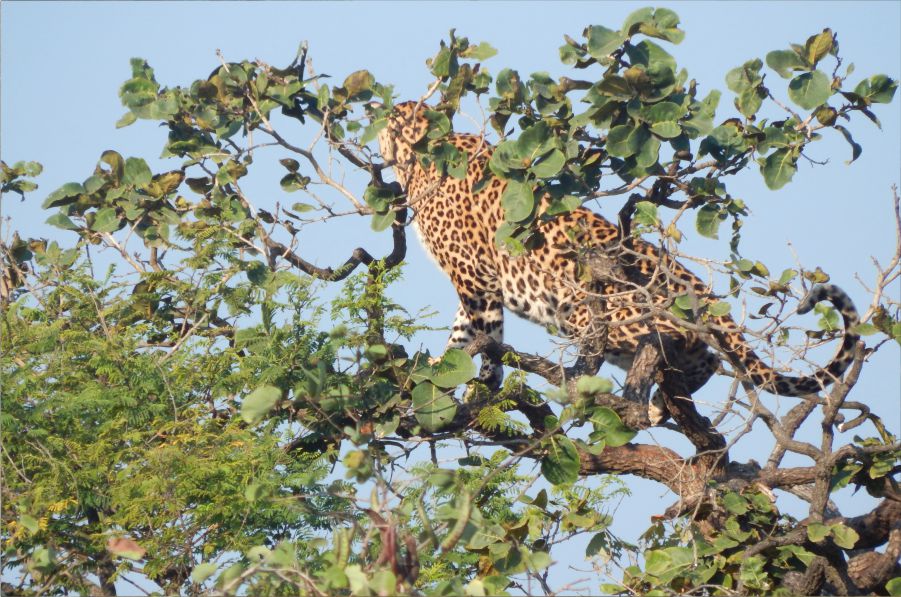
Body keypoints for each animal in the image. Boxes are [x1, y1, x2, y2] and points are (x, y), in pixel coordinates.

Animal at [376, 100, 860, 422]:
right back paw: (662, 404)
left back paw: (655, 403)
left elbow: (486, 335)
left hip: (590, 314)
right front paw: (436, 372)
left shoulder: (475, 274)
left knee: (698, 356)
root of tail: (695, 286)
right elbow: (461, 333)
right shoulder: (476, 281)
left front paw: (484, 387)